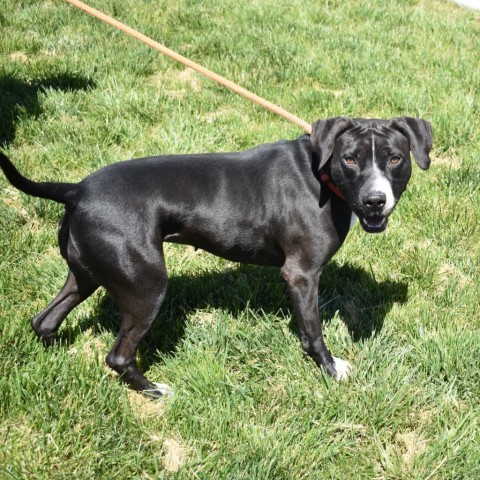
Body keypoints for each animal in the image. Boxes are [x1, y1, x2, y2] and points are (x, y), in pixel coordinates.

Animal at [0, 117, 434, 398]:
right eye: (351, 158)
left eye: (395, 158)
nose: (375, 200)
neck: (322, 173)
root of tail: (77, 190)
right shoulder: (301, 274)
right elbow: (313, 330)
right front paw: (330, 369)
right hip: (146, 285)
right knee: (118, 355)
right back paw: (155, 390)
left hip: (87, 273)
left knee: (45, 320)